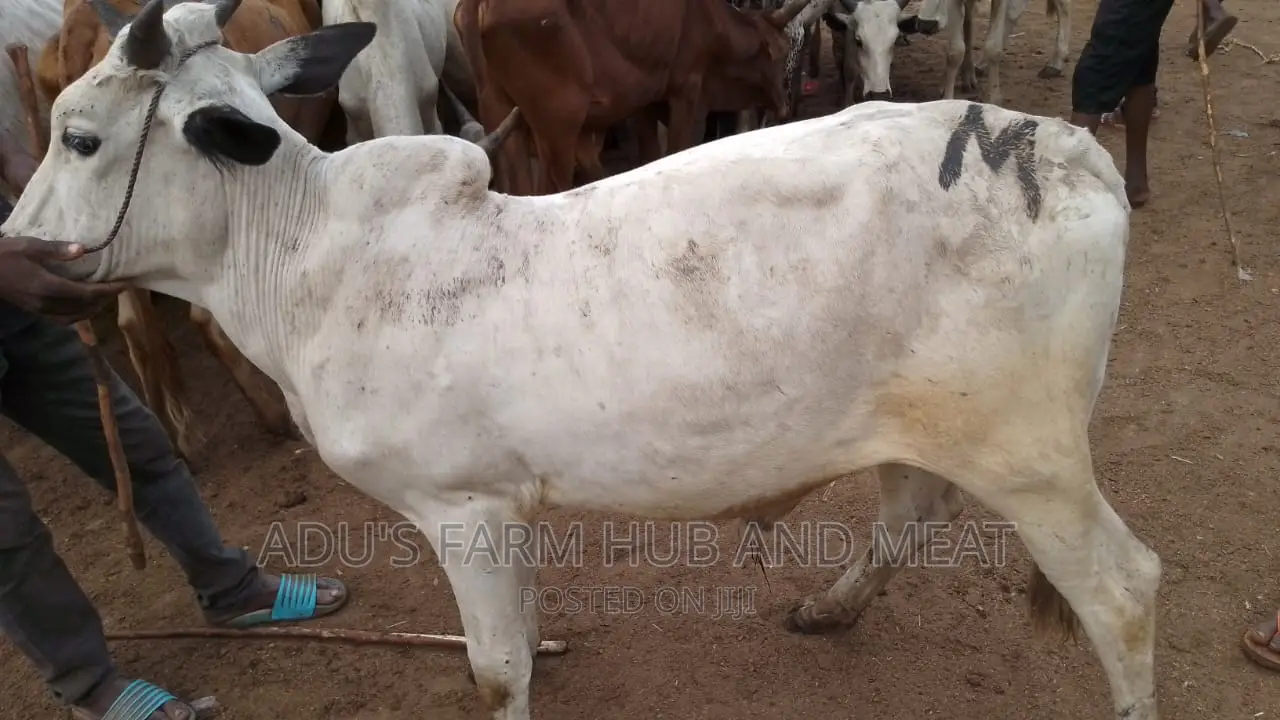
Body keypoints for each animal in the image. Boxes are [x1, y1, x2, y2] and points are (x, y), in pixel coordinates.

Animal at [455, 0, 833, 196]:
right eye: (782, 50)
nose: (784, 106)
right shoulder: (687, 90)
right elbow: (678, 147)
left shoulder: (644, 101)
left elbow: (650, 153)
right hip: (558, 123)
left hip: (500, 112)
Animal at [916, 0, 1072, 108]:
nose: (926, 24)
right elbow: (955, 52)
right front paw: (947, 99)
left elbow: (993, 48)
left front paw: (993, 100)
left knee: (1063, 5)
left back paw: (1056, 62)